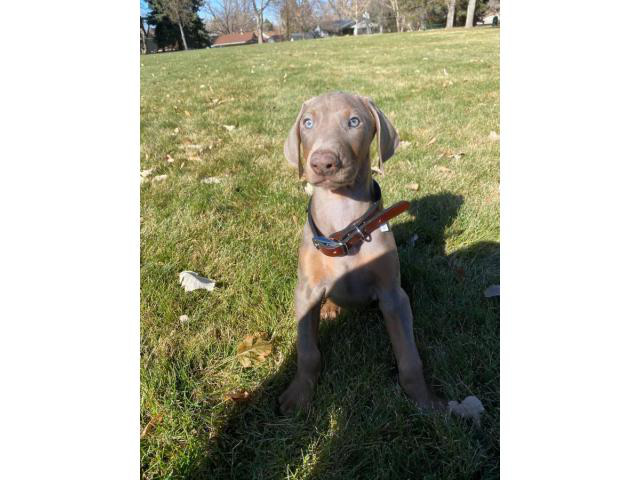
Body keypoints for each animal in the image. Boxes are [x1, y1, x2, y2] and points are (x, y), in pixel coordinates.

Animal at [280, 92, 444, 414]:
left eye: (354, 121)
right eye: (308, 123)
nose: (323, 163)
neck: (344, 224)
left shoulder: (393, 296)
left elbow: (409, 358)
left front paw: (426, 400)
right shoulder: (305, 291)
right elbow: (307, 351)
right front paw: (298, 395)